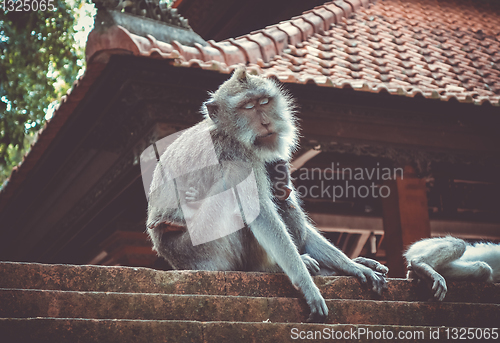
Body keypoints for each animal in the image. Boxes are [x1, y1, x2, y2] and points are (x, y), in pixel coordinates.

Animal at [146, 66, 388, 322]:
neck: (229, 132)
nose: (265, 122)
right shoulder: (239, 156)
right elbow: (261, 213)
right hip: (204, 249)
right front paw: (308, 286)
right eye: (247, 107)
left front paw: (353, 266)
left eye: (263, 101)